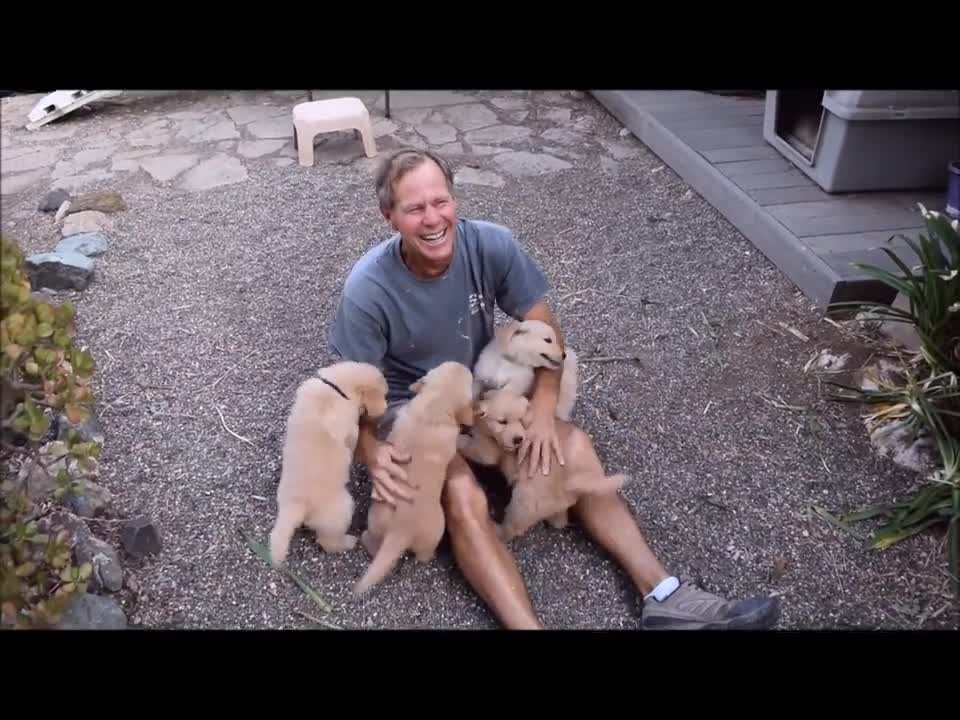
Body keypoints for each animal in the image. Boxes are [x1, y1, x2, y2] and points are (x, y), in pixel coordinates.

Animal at [268, 362, 388, 572]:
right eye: (383, 394)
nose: (386, 408)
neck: (335, 388)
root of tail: (295, 504)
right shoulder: (349, 425)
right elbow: (351, 438)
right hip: (342, 509)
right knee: (328, 542)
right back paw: (348, 542)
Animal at [352, 360, 476, 596]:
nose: (461, 363)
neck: (434, 405)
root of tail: (399, 531)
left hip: (376, 521)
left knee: (372, 544)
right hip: (436, 531)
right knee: (423, 556)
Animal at [460, 388, 632, 540]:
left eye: (522, 421)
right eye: (502, 422)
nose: (518, 439)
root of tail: (570, 484)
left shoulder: (486, 450)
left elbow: (469, 445)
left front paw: (459, 440)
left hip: (524, 502)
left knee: (512, 529)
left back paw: (497, 529)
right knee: (559, 521)